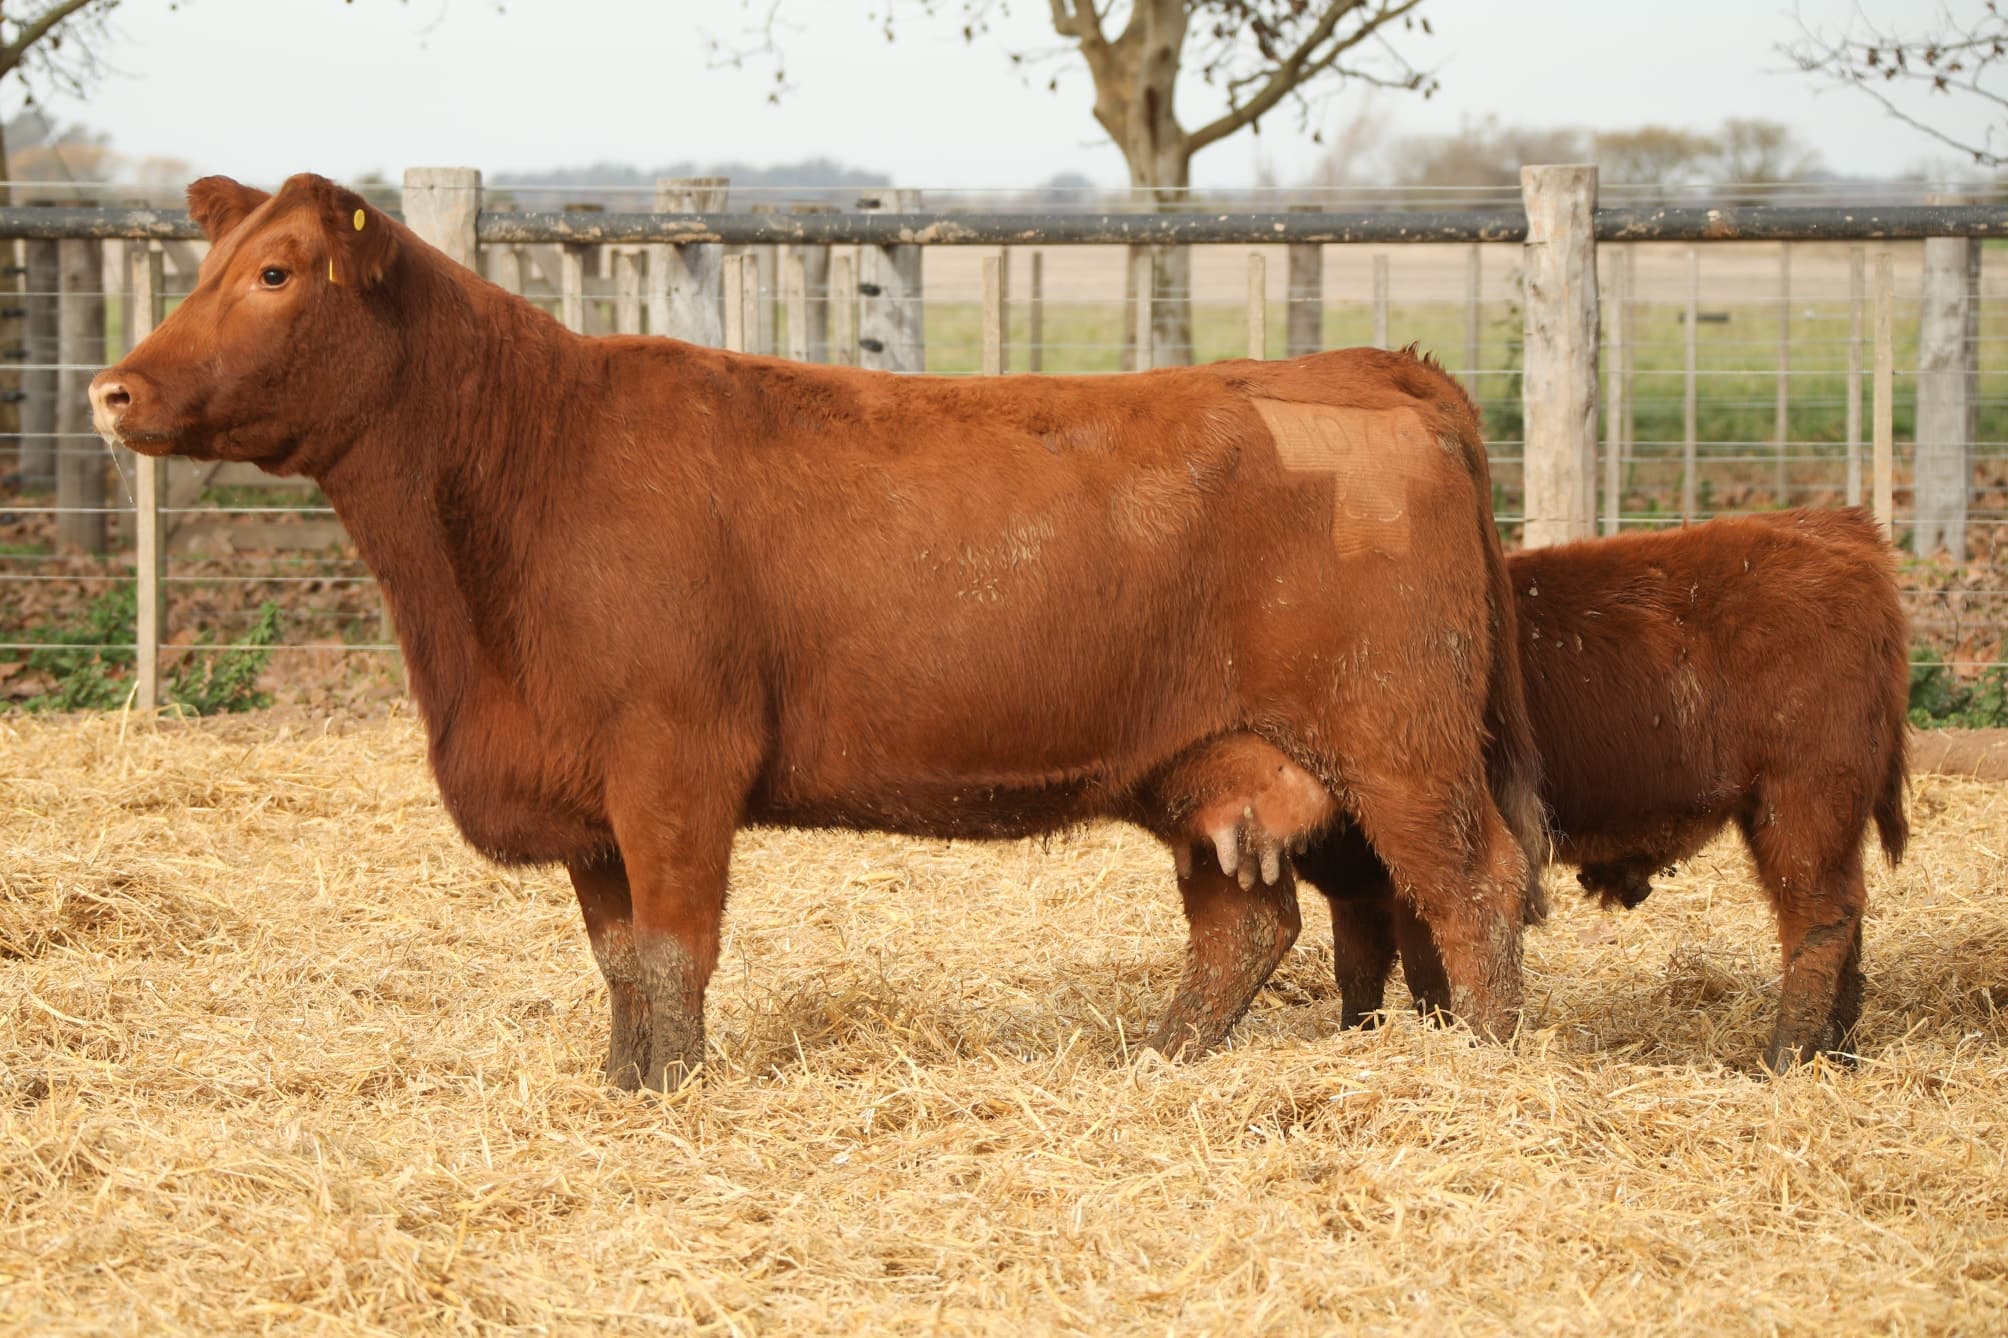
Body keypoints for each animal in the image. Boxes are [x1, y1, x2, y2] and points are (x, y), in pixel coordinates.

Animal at [90, 173, 1545, 1093]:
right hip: (1210, 765)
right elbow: (619, 963)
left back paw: (1484, 1070)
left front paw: (677, 1097)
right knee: (1244, 926)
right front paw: (625, 1090)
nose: (114, 389)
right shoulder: (590, 802)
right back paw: (1156, 1065)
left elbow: (674, 952)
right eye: (205, 267)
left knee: (1473, 887)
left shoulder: (674, 768)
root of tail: (1372, 368)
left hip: (1401, 738)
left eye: (275, 272)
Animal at [1295, 508, 1911, 1072]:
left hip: (1802, 803)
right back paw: (1839, 1052)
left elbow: (1430, 965)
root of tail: (1835, 527)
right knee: (1848, 916)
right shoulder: (1358, 885)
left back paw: (1786, 1056)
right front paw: (1355, 1033)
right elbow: (1358, 969)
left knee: (1817, 917)